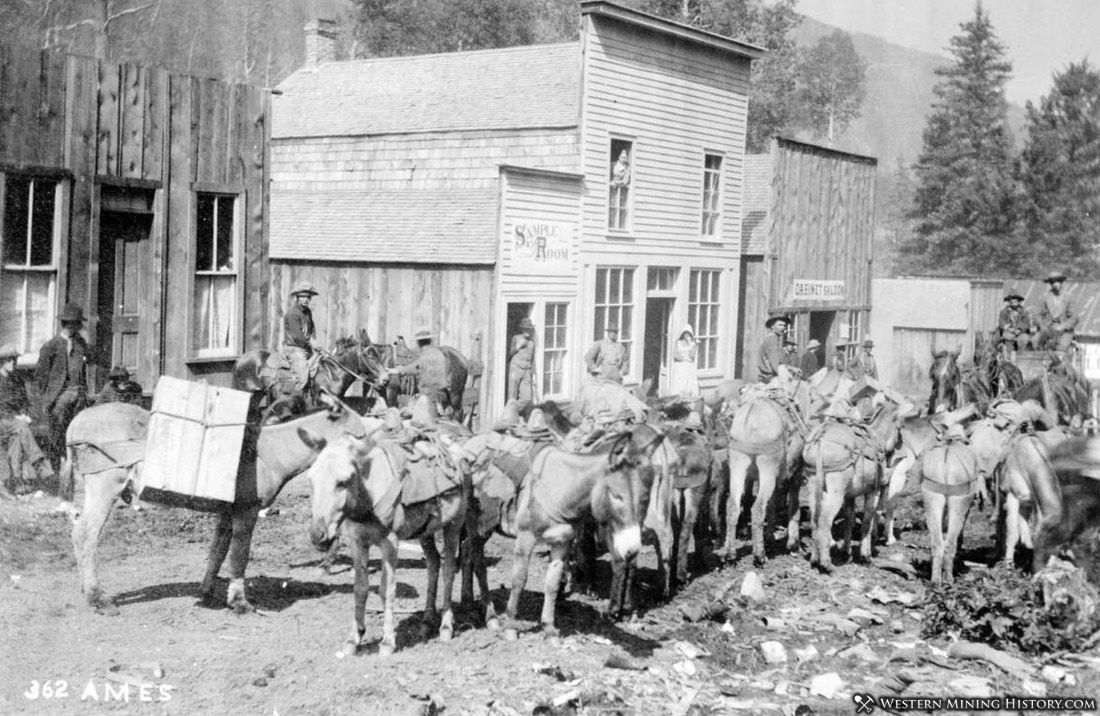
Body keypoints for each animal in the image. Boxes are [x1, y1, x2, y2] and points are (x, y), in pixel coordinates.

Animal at [68, 395, 365, 611]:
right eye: (360, 437)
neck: (268, 452)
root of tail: (76, 422)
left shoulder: (227, 511)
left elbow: (218, 551)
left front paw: (207, 593)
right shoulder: (247, 510)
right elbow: (239, 554)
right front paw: (240, 602)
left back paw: (85, 590)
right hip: (104, 487)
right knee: (85, 535)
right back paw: (97, 597)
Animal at [301, 422, 468, 659]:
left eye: (342, 482)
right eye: (311, 480)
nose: (318, 536)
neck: (367, 497)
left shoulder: (390, 543)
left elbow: (387, 590)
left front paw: (388, 641)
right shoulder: (358, 542)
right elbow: (360, 588)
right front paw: (354, 638)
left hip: (453, 525)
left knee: (448, 570)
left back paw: (446, 627)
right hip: (425, 532)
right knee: (433, 564)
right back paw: (427, 622)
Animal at [919, 431, 981, 580]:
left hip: (932, 498)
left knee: (937, 543)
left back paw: (935, 580)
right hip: (958, 501)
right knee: (950, 543)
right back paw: (948, 579)